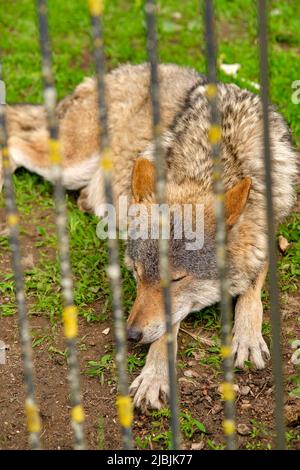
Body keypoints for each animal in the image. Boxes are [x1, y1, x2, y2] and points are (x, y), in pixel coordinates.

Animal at [1, 63, 298, 412]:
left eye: (177, 280)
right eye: (137, 274)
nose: (130, 335)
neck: (215, 161)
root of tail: (119, 70)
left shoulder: (265, 236)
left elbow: (251, 292)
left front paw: (247, 338)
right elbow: (166, 331)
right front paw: (155, 376)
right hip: (67, 163)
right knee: (15, 141)